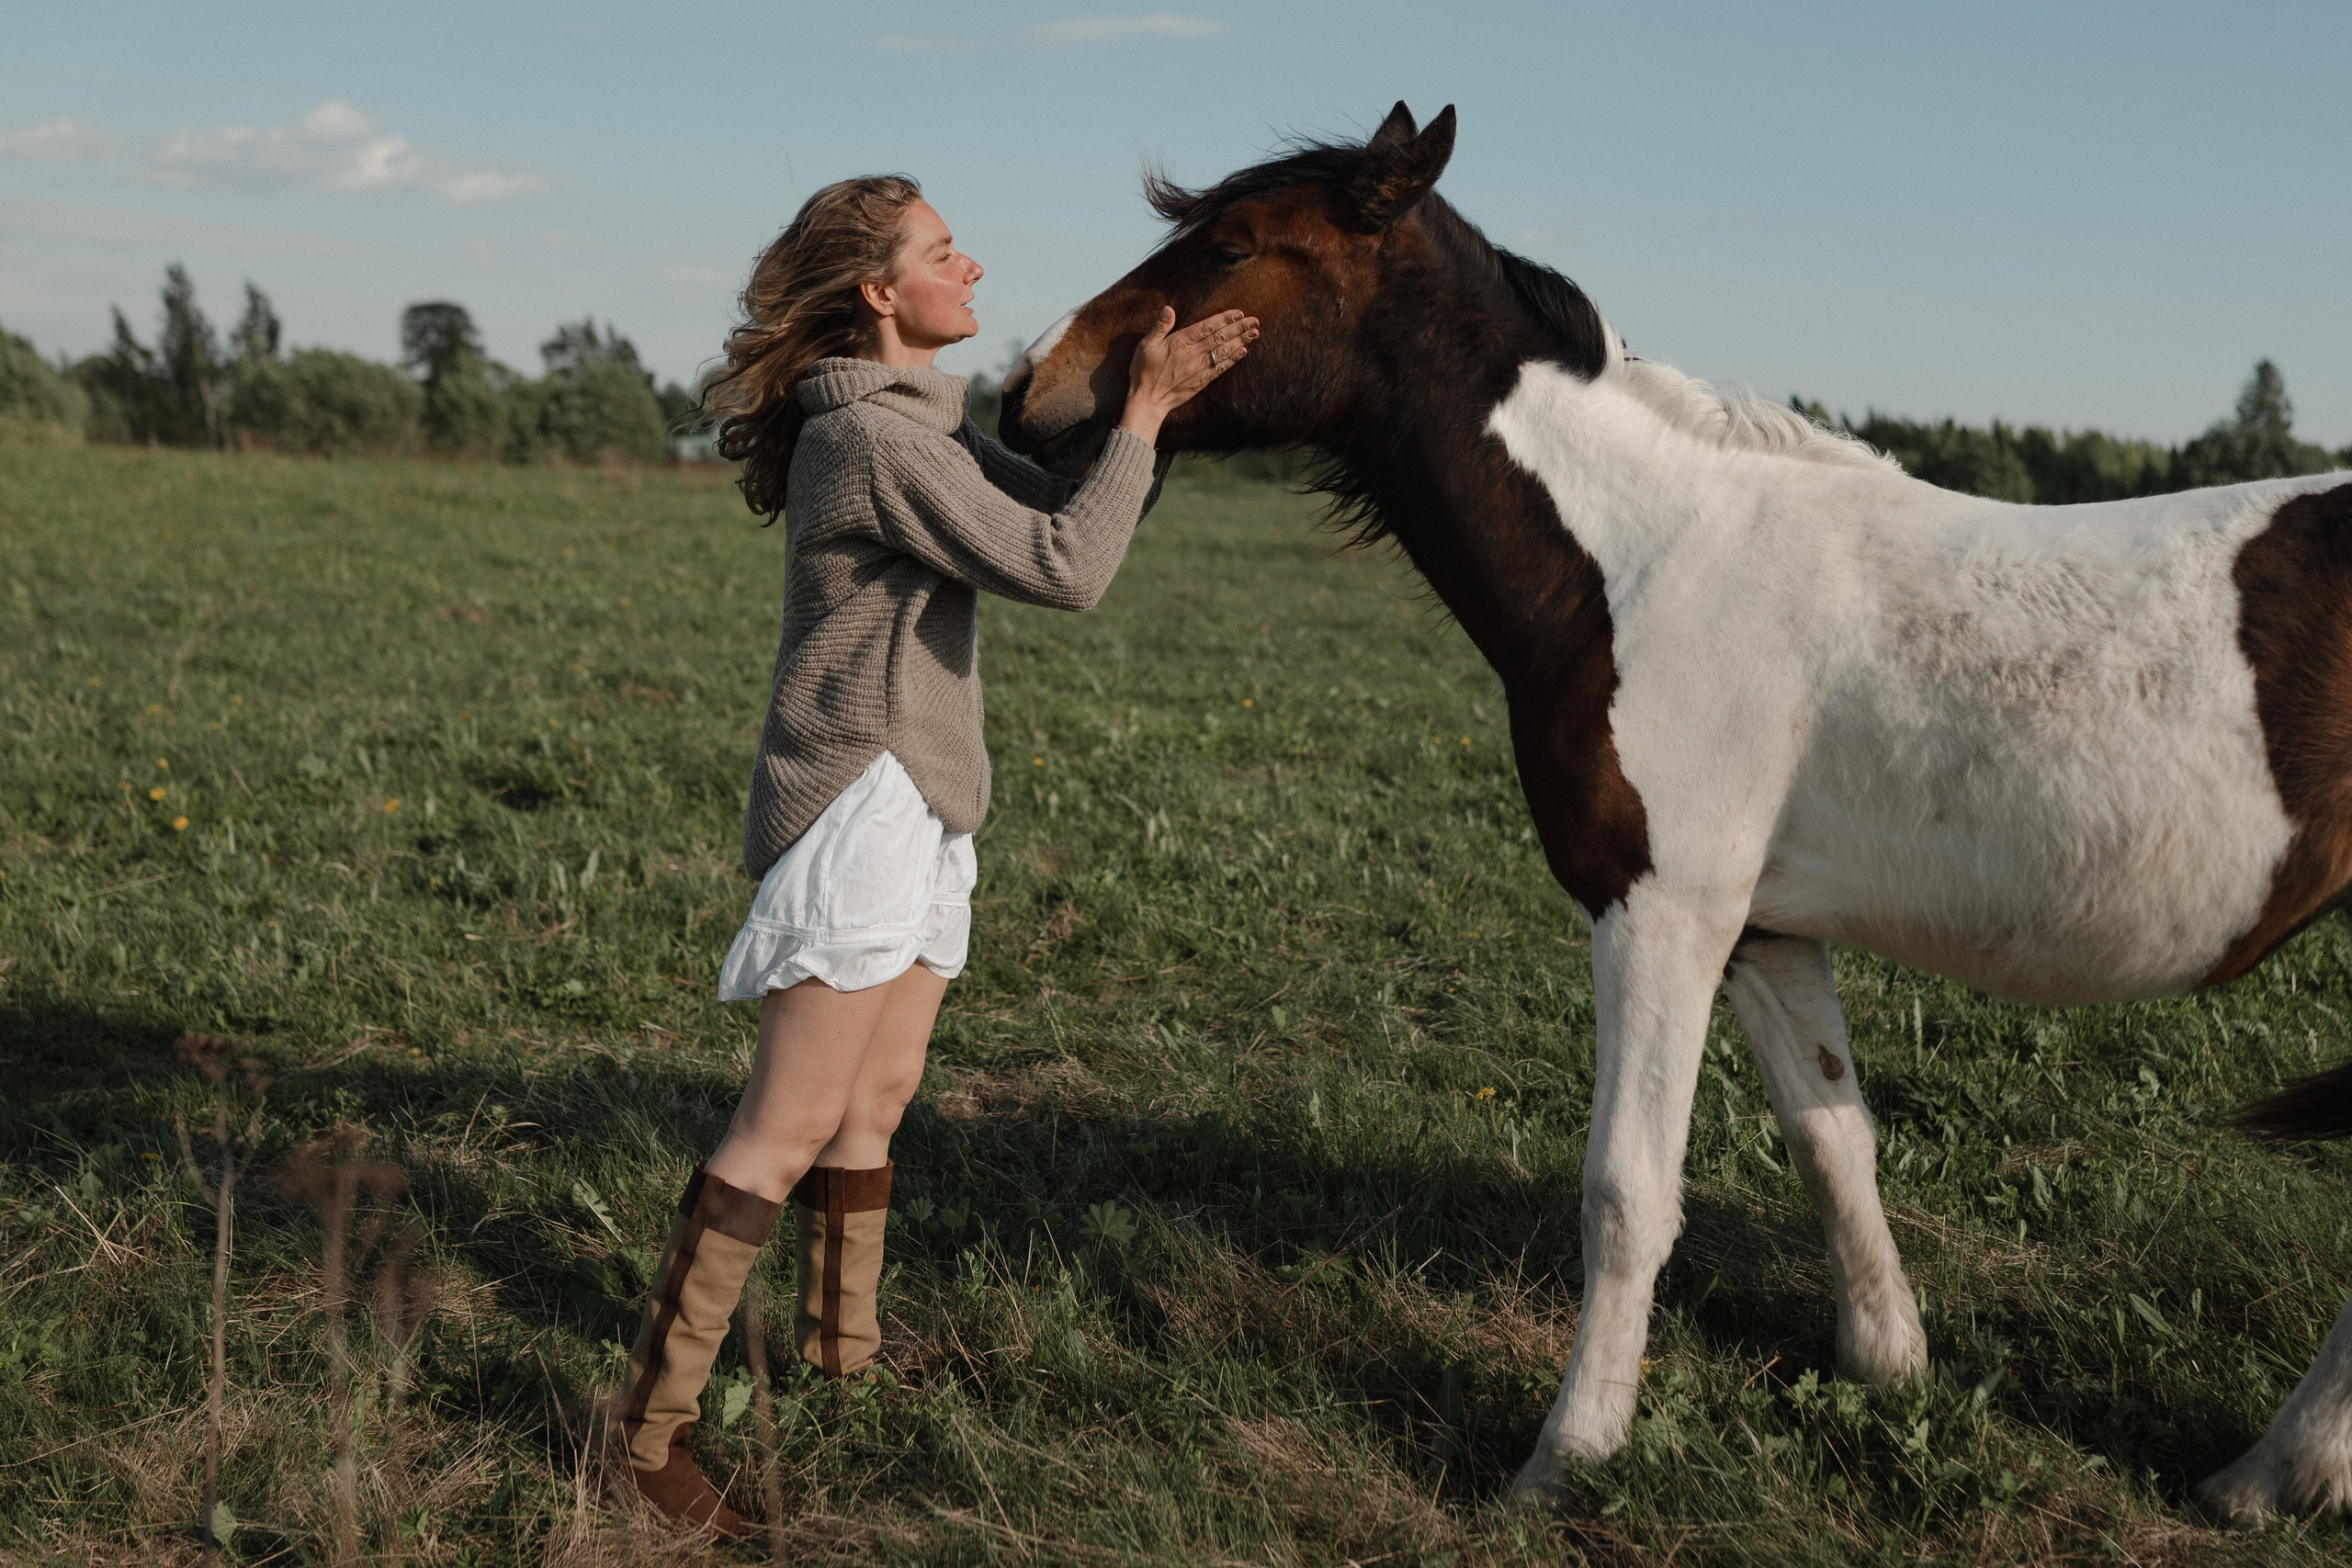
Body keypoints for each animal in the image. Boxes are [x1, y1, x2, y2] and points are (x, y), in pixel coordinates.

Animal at [997, 101, 2352, 1518]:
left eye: (1236, 244)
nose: (1025, 392)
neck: (1644, 562)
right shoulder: (1763, 931)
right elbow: (1833, 1143)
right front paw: (1887, 1368)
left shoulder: (1659, 916)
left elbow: (1627, 1192)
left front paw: (1568, 1454)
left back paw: (2276, 1469)